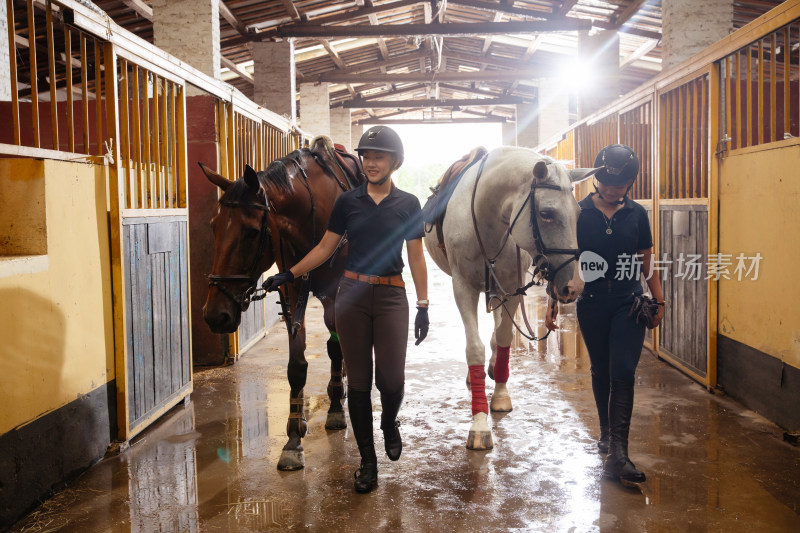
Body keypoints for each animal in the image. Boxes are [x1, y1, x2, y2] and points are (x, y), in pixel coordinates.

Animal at [198, 138, 364, 470]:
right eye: (213, 226)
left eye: (251, 231)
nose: (215, 315)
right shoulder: (290, 287)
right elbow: (296, 365)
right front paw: (293, 437)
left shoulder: (337, 290)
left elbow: (336, 347)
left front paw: (335, 410)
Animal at [422, 145, 596, 448]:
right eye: (546, 213)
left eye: (577, 212)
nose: (573, 286)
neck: (487, 219)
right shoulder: (463, 288)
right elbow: (474, 348)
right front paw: (479, 423)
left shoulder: (511, 287)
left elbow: (503, 339)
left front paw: (500, 395)